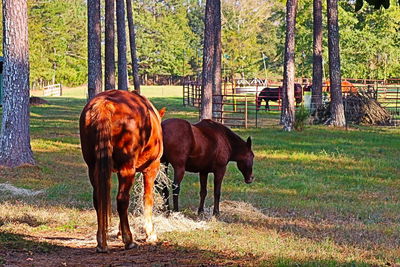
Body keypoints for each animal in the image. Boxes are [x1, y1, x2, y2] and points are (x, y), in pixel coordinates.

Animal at [79, 90, 165, 253]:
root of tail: (105, 103)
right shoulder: (151, 169)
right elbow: (147, 199)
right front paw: (150, 233)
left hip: (93, 168)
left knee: (99, 200)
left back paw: (102, 242)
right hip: (127, 169)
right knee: (122, 200)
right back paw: (129, 240)